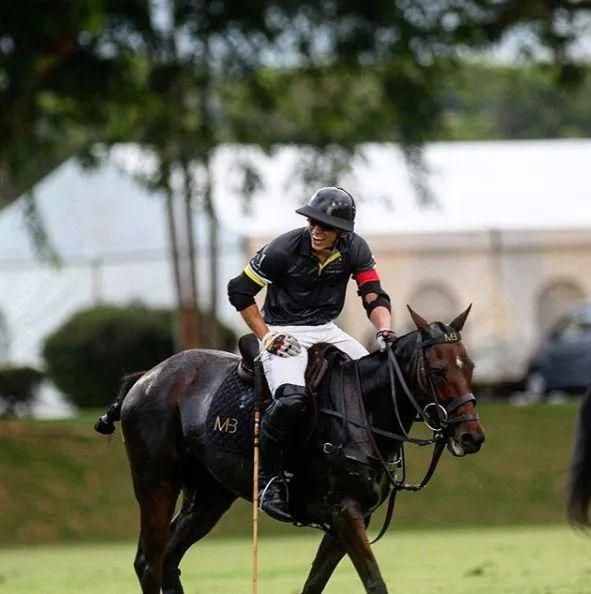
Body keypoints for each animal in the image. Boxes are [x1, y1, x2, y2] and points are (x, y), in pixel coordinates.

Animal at [97, 306, 486, 592]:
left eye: (469, 365)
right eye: (437, 370)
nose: (472, 437)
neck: (362, 409)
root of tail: (146, 377)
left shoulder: (350, 519)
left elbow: (314, 584)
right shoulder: (344, 512)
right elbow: (375, 582)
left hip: (209, 496)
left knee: (169, 559)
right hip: (156, 483)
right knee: (150, 561)